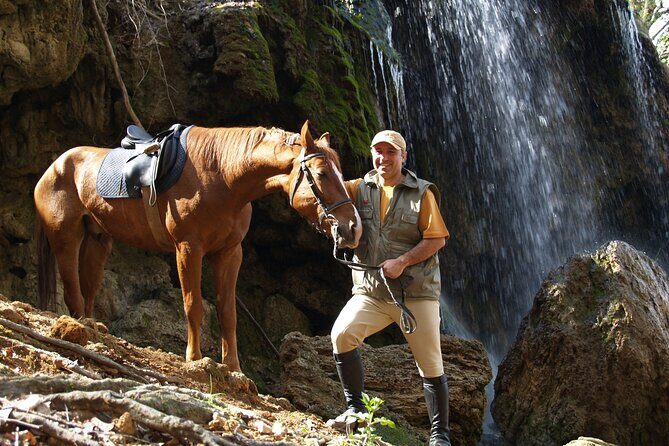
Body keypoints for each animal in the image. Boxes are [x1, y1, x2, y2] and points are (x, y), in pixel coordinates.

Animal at [34, 121, 361, 372]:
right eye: (321, 174)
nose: (353, 228)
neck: (222, 176)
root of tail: (53, 167)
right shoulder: (188, 249)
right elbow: (194, 305)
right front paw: (194, 358)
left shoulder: (229, 253)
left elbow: (228, 311)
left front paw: (233, 367)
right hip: (66, 238)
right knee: (72, 287)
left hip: (98, 239)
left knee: (89, 287)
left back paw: (93, 326)